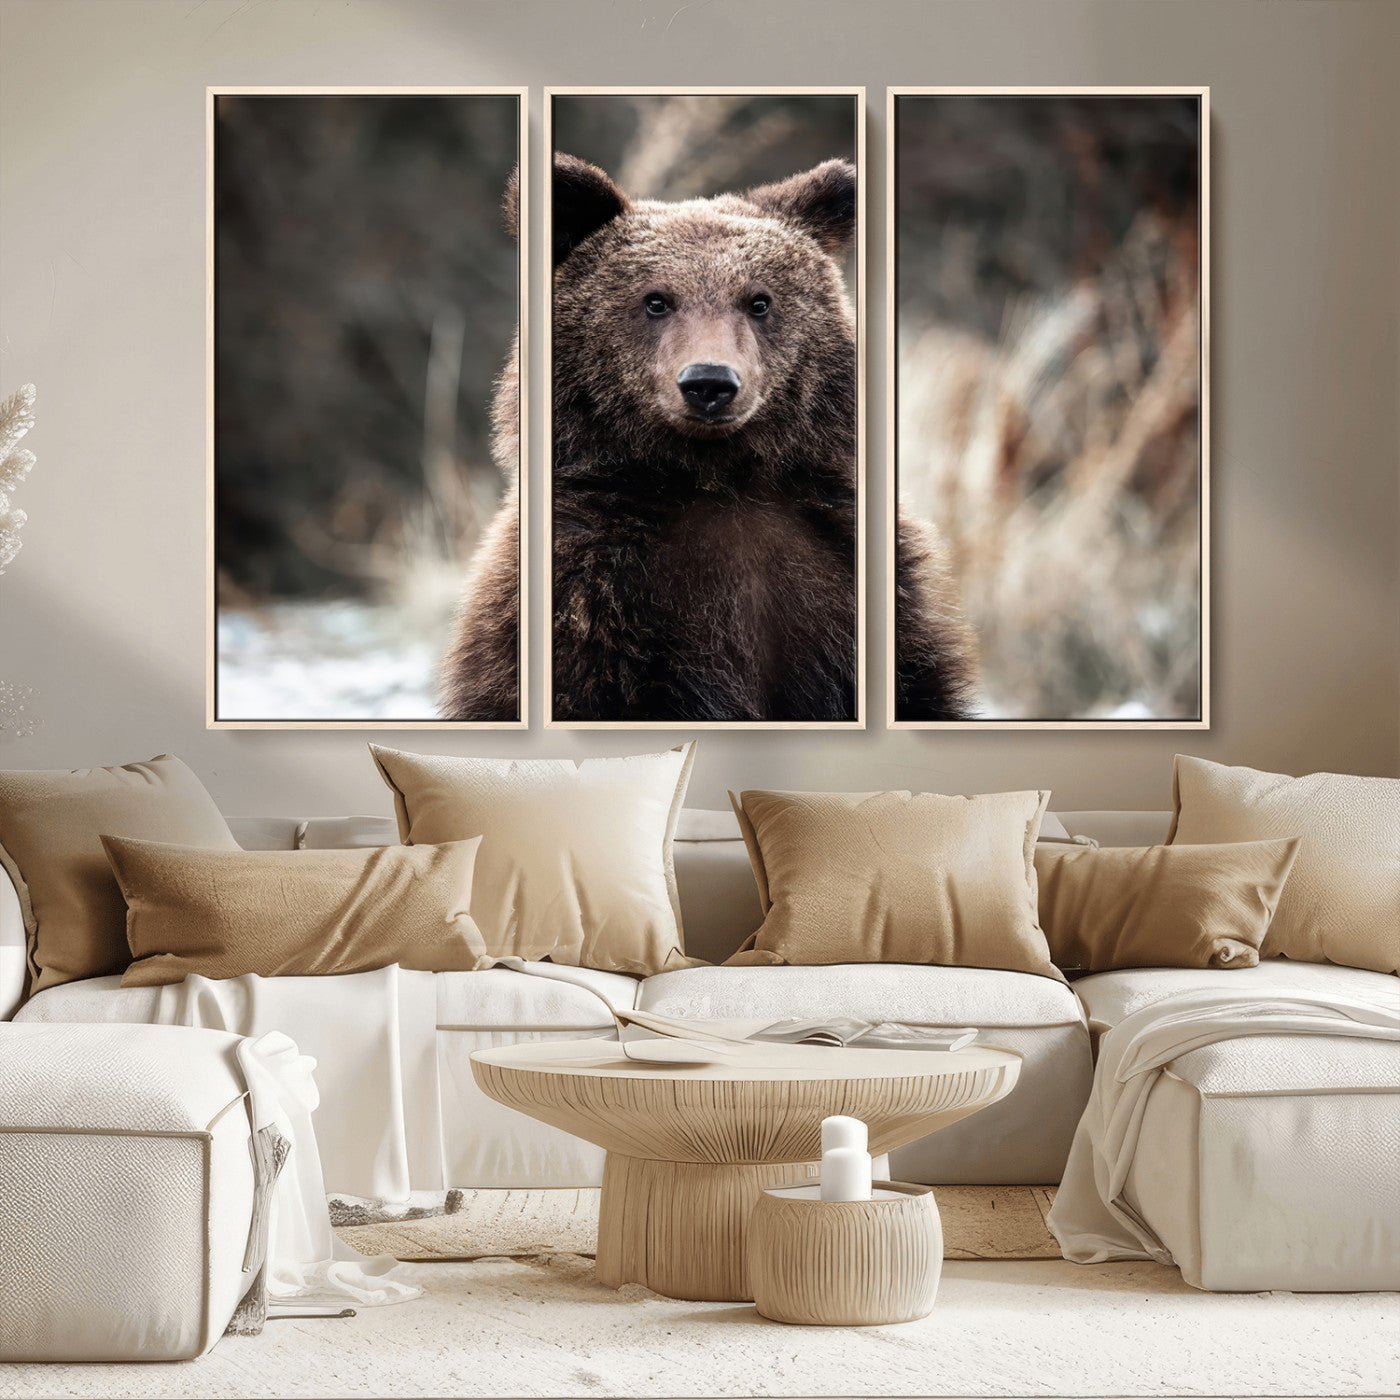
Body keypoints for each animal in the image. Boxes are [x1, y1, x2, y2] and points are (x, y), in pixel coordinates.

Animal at [440, 154, 976, 723]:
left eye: (759, 301)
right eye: (656, 300)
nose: (709, 382)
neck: (716, 475)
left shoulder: (846, 571)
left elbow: (918, 685)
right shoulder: (590, 594)